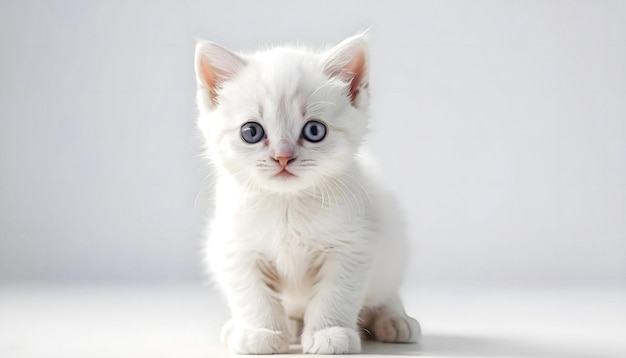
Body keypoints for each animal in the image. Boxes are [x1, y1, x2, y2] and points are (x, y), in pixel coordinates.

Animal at [195, 33, 420, 356]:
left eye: (314, 130)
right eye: (251, 132)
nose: (283, 157)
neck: (288, 205)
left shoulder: (354, 245)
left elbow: (335, 293)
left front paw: (330, 333)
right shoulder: (236, 247)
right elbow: (253, 294)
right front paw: (261, 332)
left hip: (392, 249)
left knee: (385, 289)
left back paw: (394, 319)